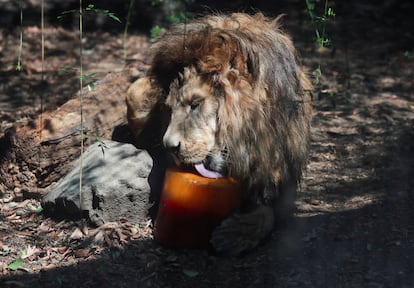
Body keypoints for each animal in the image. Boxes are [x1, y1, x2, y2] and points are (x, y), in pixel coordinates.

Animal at [126, 12, 310, 255]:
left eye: (195, 104)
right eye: (169, 108)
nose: (169, 147)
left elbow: (268, 214)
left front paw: (235, 234)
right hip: (135, 92)